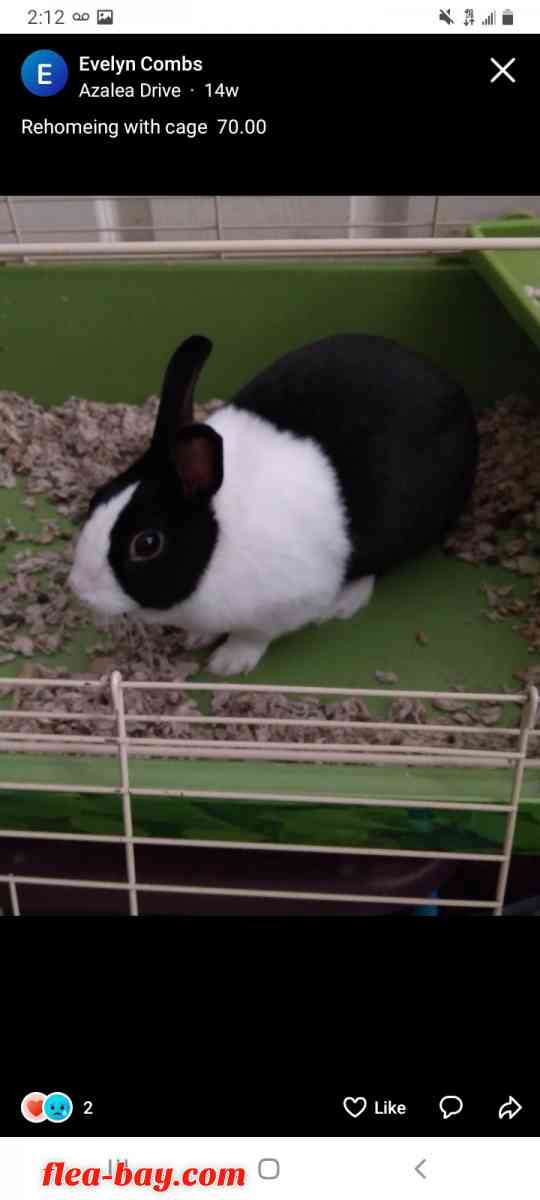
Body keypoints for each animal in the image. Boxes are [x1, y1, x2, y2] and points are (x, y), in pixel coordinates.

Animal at [68, 332, 478, 676]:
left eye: (147, 543)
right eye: (97, 496)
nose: (78, 590)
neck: (219, 540)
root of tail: (457, 395)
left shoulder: (286, 603)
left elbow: (254, 635)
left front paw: (228, 662)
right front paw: (197, 638)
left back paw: (342, 604)